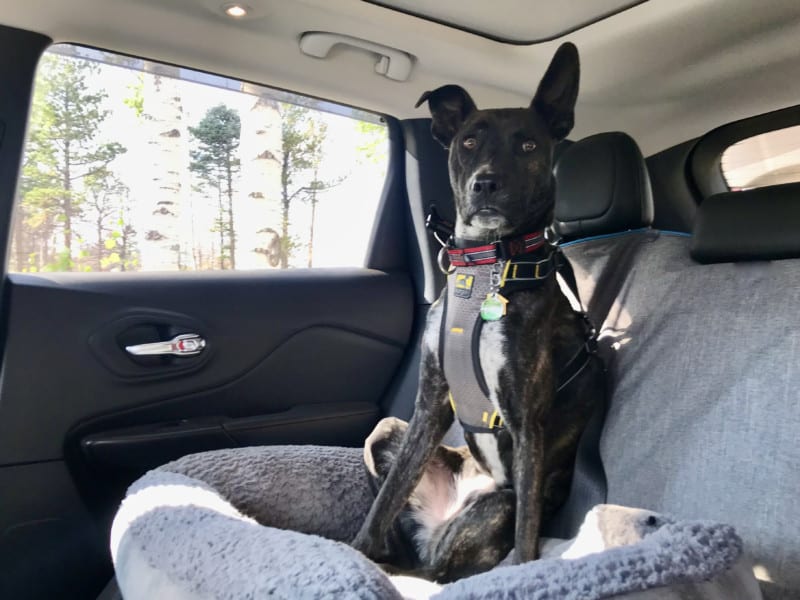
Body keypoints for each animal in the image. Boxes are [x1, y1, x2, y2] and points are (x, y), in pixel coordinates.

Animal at [354, 42, 604, 580]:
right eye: (468, 142)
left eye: (528, 146)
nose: (485, 184)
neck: (486, 267)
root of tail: (433, 538)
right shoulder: (429, 404)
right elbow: (385, 501)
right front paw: (354, 550)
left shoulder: (526, 421)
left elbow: (527, 535)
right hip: (385, 433)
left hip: (497, 505)